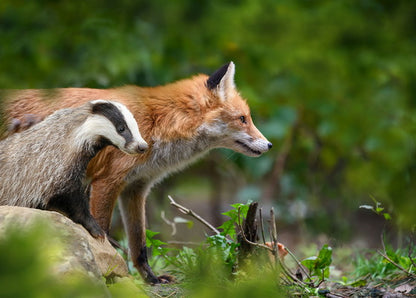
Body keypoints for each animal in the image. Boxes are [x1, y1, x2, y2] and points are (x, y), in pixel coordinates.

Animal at [2, 61, 272, 282]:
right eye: (243, 119)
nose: (269, 145)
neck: (157, 122)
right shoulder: (106, 182)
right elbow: (103, 231)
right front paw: (113, 273)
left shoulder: (136, 188)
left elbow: (139, 245)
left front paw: (150, 279)